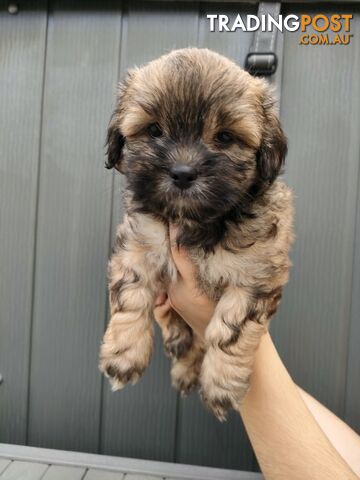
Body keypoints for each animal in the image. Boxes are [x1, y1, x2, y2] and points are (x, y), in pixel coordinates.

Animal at [98, 46, 292, 420]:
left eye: (225, 137)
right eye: (155, 130)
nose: (183, 172)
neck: (195, 220)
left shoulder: (255, 275)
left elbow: (229, 331)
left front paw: (221, 385)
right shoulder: (139, 246)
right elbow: (131, 296)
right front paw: (124, 355)